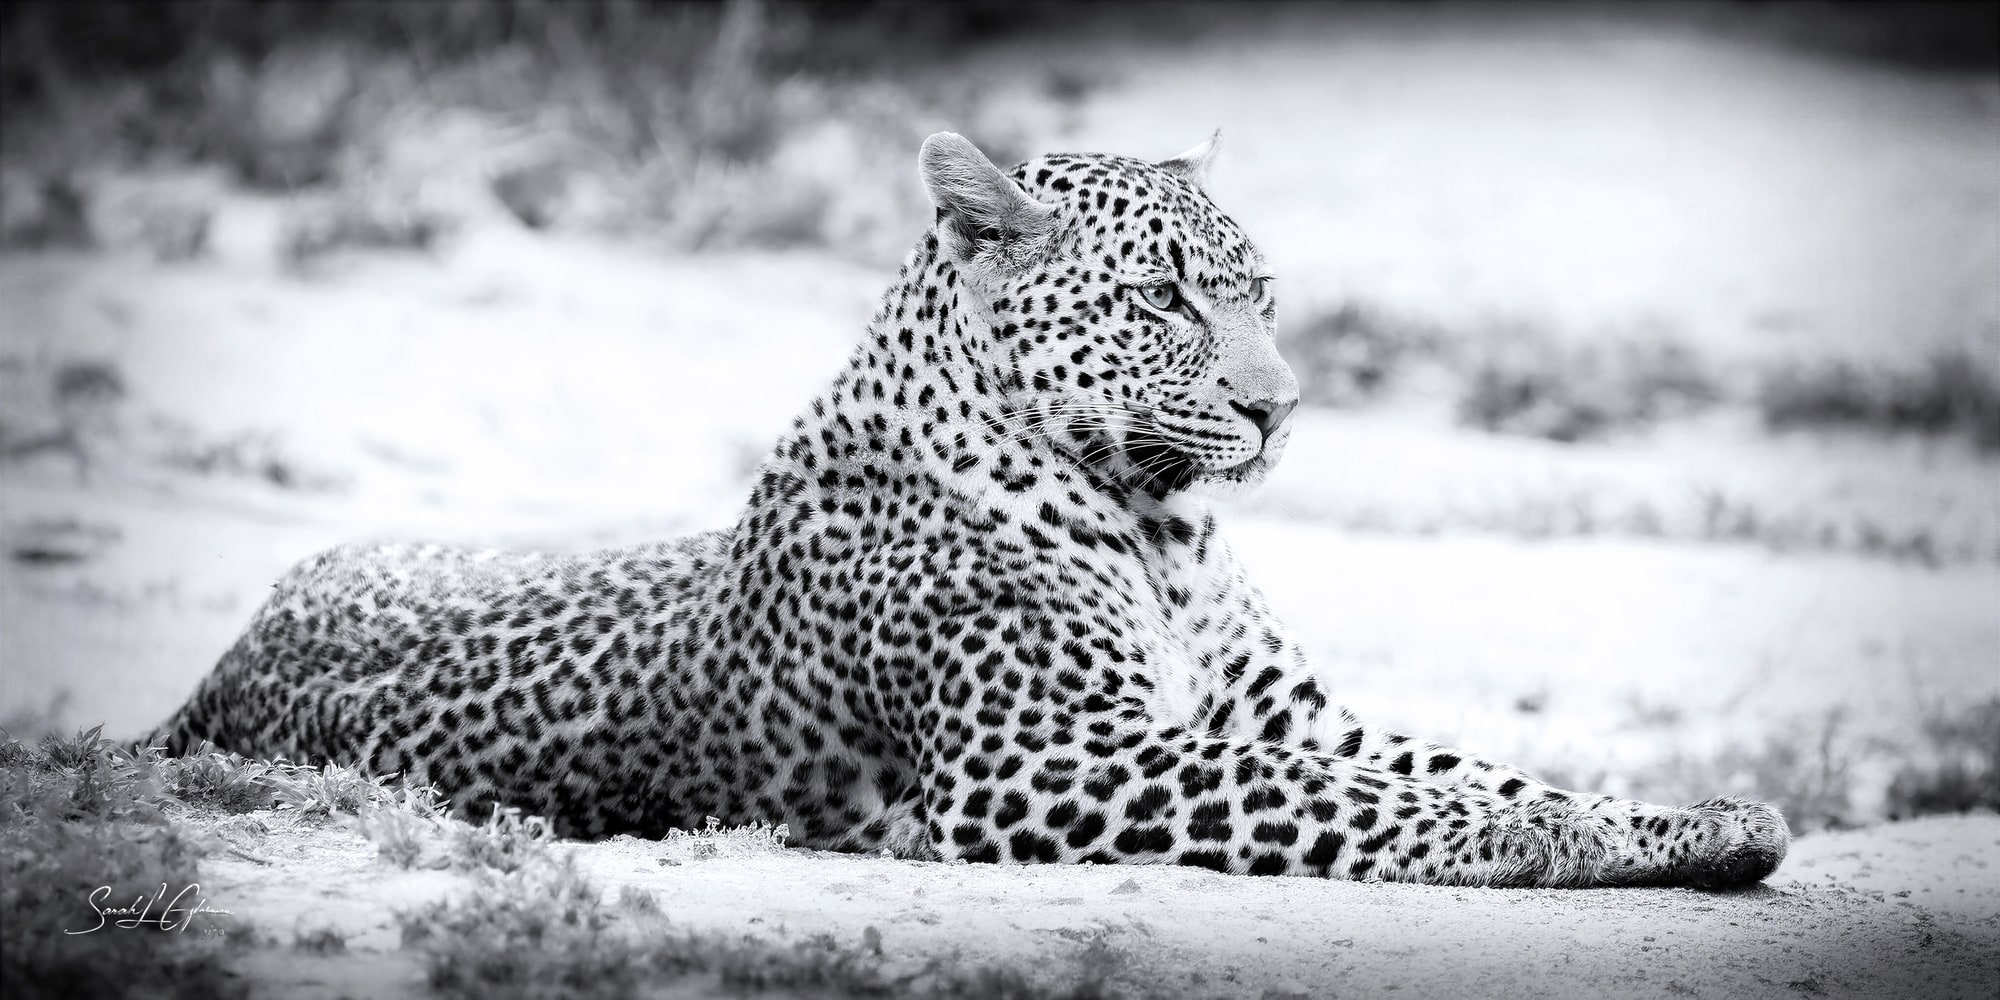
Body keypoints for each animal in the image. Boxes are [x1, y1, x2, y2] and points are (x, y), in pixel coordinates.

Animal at [151, 132, 1789, 888]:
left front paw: (1684, 820)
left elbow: (1462, 762)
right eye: (1162, 300)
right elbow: (1363, 797)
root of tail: (213, 675)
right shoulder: (1039, 762)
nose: (1280, 407)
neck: (1166, 530)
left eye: (1259, 290)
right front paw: (1543, 839)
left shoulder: (1290, 715)